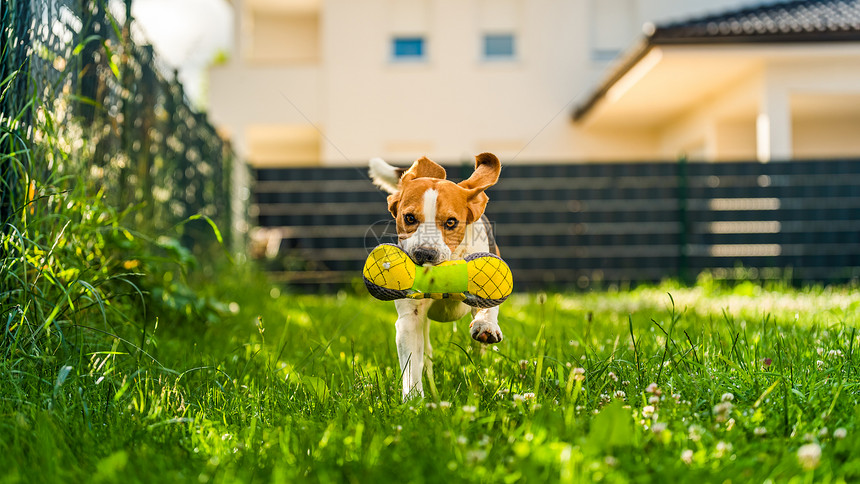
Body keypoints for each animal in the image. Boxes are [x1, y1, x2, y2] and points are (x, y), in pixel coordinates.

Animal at [368, 153, 504, 398]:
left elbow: (486, 306)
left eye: (451, 222)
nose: (424, 254)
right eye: (409, 218)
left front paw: (485, 325)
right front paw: (414, 400)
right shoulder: (409, 320)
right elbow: (411, 366)